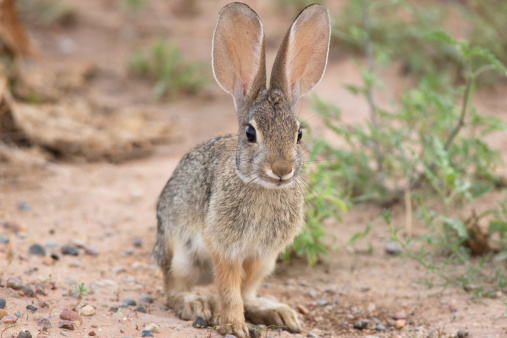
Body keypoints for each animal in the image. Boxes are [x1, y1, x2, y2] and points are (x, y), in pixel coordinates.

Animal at [153, 1, 332, 336]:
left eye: (299, 134)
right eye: (250, 133)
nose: (282, 170)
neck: (261, 187)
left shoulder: (260, 254)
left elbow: (241, 288)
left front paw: (244, 319)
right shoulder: (224, 248)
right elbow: (229, 289)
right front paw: (234, 326)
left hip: (266, 264)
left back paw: (278, 312)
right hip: (180, 252)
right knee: (172, 288)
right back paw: (195, 304)